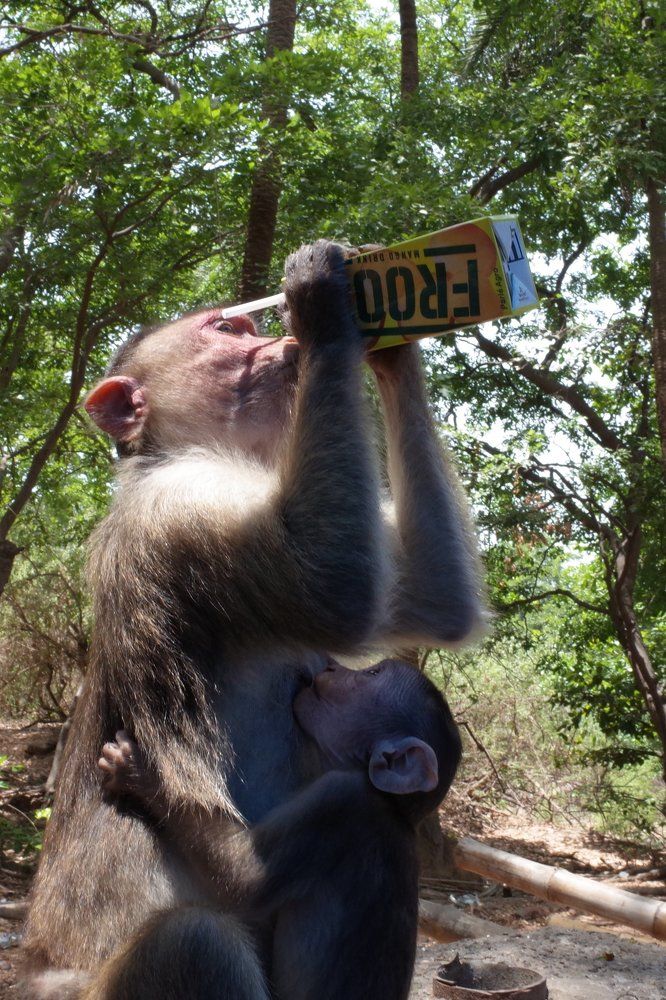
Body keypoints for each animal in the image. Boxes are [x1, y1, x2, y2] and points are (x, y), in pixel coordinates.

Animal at [94, 657, 462, 1000]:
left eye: (372, 675)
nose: (332, 667)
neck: (392, 806)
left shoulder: (341, 802)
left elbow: (243, 877)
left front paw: (141, 774)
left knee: (192, 935)